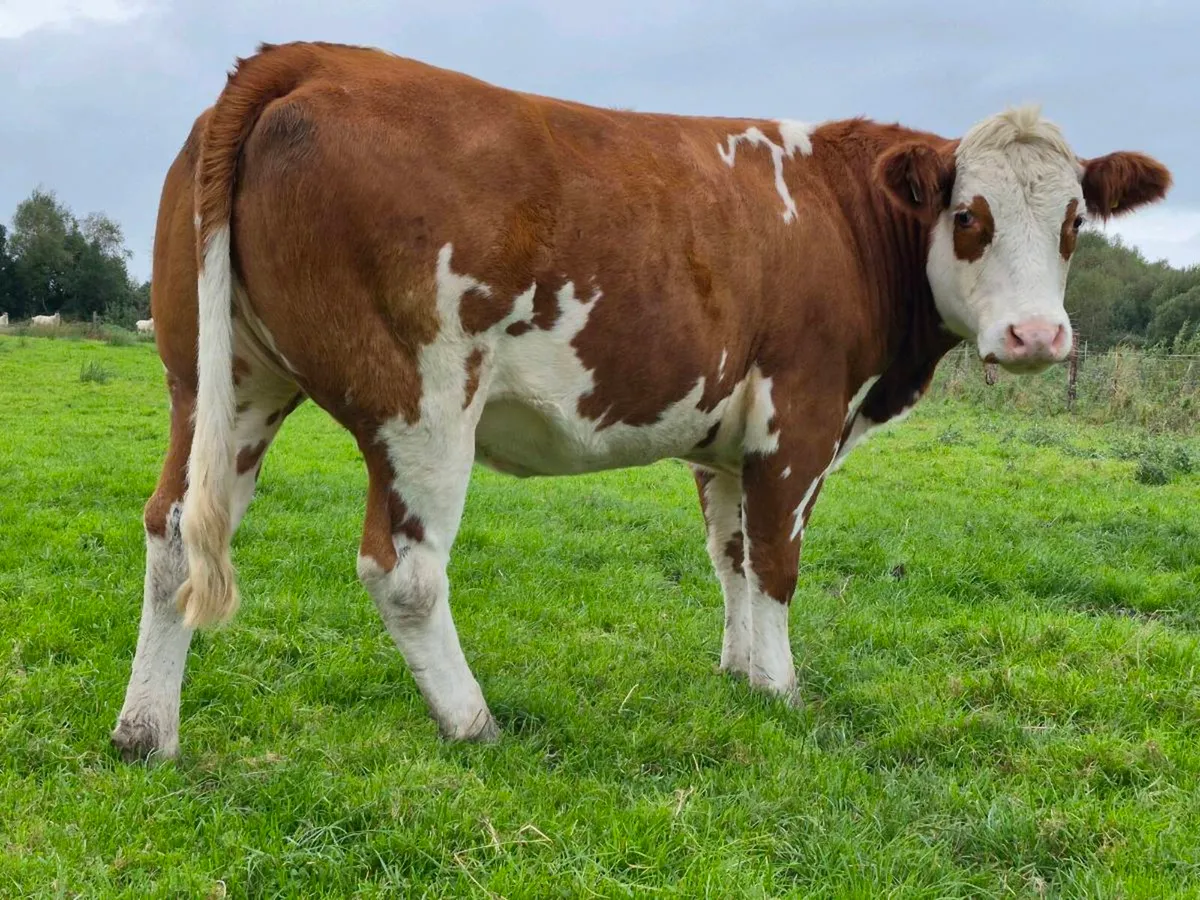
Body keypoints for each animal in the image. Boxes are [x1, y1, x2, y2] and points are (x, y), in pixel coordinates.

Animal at [111, 41, 1171, 761]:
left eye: (1075, 221)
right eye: (968, 215)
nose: (1037, 338)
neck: (842, 215)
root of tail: (310, 58)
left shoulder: (727, 439)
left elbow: (732, 558)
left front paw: (741, 675)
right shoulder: (800, 413)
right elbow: (777, 562)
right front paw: (784, 692)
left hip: (219, 381)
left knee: (174, 531)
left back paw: (146, 730)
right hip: (421, 397)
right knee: (402, 570)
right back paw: (472, 720)